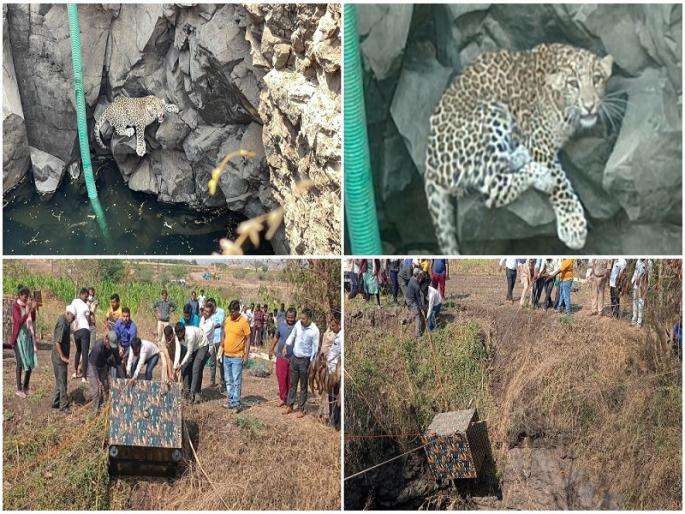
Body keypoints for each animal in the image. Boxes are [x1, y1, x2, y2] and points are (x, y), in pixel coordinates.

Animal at [424, 43, 614, 254]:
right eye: (573, 84)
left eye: (597, 79)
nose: (589, 106)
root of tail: (430, 165)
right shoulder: (538, 139)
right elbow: (560, 183)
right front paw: (573, 225)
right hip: (490, 110)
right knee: (494, 187)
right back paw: (541, 175)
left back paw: (522, 154)